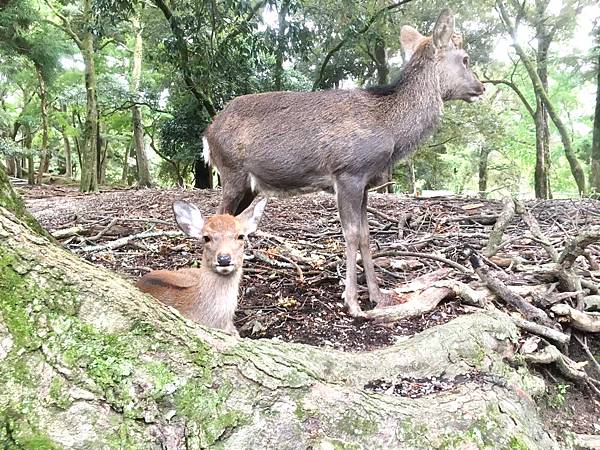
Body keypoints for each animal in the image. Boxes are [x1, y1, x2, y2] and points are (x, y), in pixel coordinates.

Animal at [204, 7, 486, 316]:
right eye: (465, 58)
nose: (481, 86)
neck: (392, 132)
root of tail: (207, 134)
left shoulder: (366, 183)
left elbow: (365, 234)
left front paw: (377, 296)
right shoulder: (348, 172)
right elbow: (350, 233)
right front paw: (352, 302)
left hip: (247, 184)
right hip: (231, 172)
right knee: (214, 218)